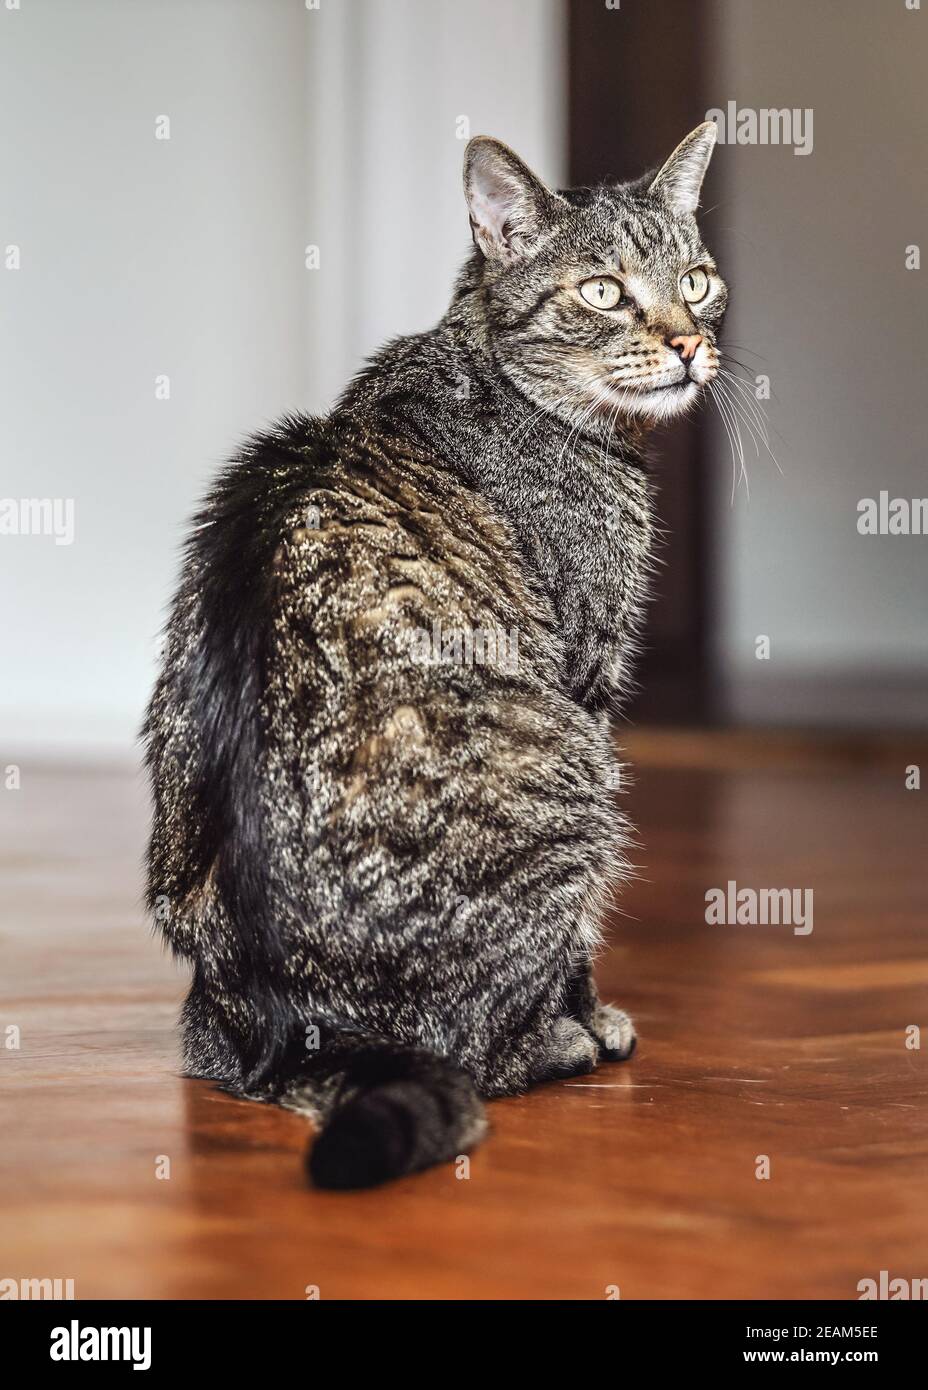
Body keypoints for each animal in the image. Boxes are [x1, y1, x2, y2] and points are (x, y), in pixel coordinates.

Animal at [143, 122, 722, 1184]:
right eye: (603, 291)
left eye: (697, 282)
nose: (688, 342)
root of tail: (291, 1031)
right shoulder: (587, 680)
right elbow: (580, 936)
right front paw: (591, 1016)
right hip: (574, 778)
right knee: (481, 1047)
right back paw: (557, 1040)